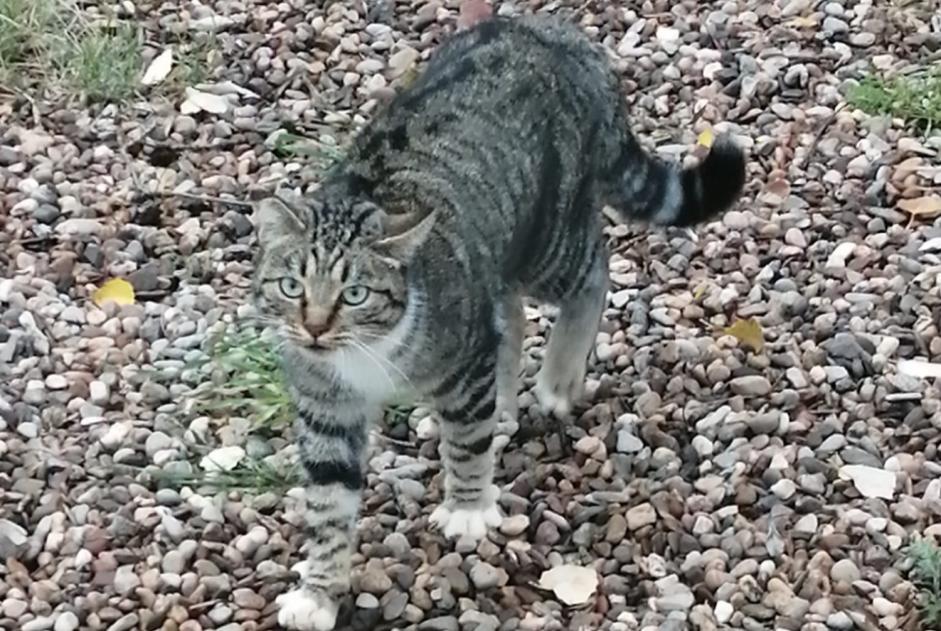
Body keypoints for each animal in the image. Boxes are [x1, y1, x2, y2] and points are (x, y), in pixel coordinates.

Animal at [253, 12, 744, 628]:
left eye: (356, 293)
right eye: (291, 287)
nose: (315, 327)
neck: (364, 355)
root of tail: (557, 33)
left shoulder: (463, 359)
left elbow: (466, 440)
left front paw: (467, 507)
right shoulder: (325, 406)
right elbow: (327, 500)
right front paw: (318, 592)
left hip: (545, 236)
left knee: (592, 269)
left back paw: (557, 378)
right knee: (508, 314)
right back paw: (504, 405)